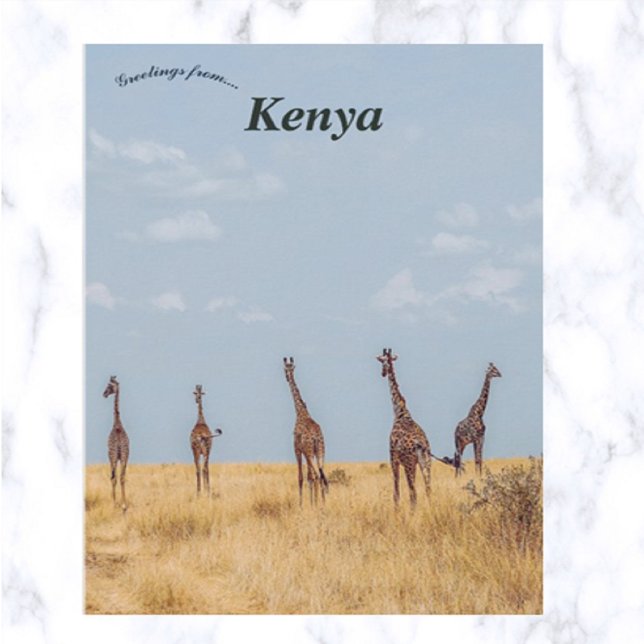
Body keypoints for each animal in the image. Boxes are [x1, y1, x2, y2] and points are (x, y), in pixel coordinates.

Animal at [283, 357, 329, 506]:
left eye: (285, 369)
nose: (287, 377)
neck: (300, 412)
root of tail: (316, 438)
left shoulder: (297, 449)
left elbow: (301, 477)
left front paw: (302, 505)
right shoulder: (310, 453)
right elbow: (309, 477)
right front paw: (312, 503)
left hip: (309, 452)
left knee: (317, 475)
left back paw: (319, 505)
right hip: (320, 452)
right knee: (321, 475)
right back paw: (323, 504)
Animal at [376, 348, 431, 508]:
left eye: (382, 361)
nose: (382, 373)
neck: (400, 412)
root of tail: (420, 444)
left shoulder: (393, 459)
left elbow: (396, 492)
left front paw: (396, 510)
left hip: (409, 463)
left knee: (414, 492)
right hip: (426, 463)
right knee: (428, 489)